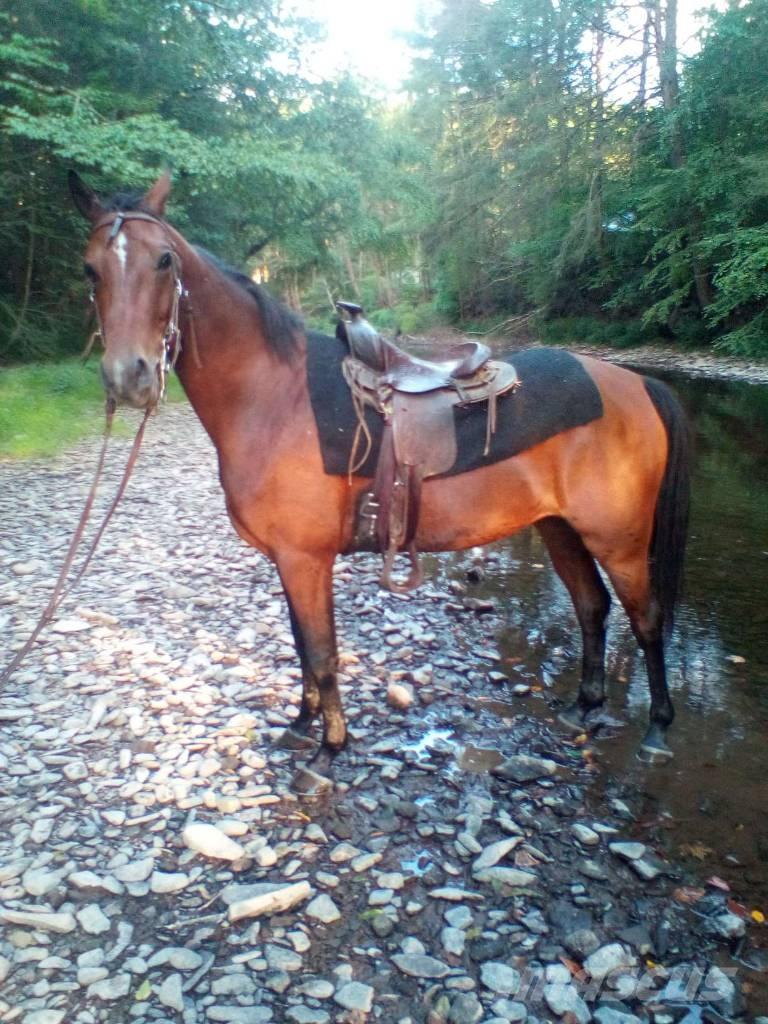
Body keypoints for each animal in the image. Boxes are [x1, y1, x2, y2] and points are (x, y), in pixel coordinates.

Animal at [68, 171, 690, 793]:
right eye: (90, 268)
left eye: (164, 261)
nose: (128, 377)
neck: (273, 398)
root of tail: (638, 384)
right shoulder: (290, 559)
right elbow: (301, 645)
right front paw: (302, 724)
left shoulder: (305, 559)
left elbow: (321, 653)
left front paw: (329, 751)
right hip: (561, 529)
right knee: (592, 607)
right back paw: (583, 708)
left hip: (619, 540)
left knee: (646, 618)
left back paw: (658, 730)